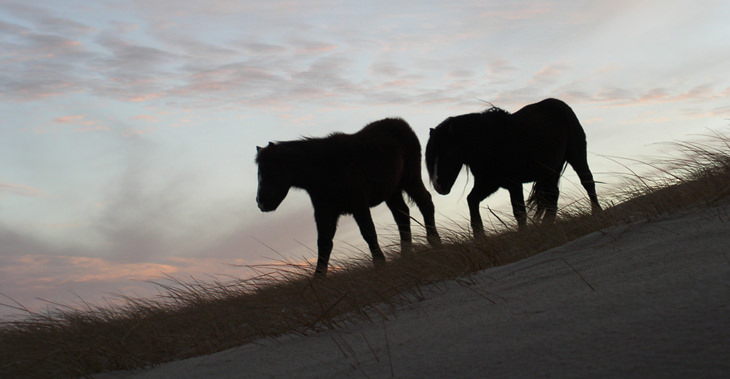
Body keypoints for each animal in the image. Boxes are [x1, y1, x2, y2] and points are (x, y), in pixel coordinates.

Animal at [256, 117, 438, 278]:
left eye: (270, 171)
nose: (261, 202)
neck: (326, 168)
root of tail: (401, 123)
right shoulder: (325, 213)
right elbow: (324, 243)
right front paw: (318, 279)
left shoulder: (359, 205)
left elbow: (368, 233)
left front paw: (379, 264)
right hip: (392, 191)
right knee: (402, 215)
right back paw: (406, 255)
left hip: (410, 179)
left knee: (425, 203)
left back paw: (434, 241)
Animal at [424, 98, 600, 240]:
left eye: (446, 153)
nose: (439, 186)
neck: (490, 143)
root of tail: (560, 104)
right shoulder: (489, 184)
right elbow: (471, 201)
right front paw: (479, 236)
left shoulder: (514, 184)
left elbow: (519, 212)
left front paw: (523, 235)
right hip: (549, 171)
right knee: (552, 196)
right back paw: (547, 225)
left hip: (575, 156)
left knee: (587, 181)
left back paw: (596, 212)